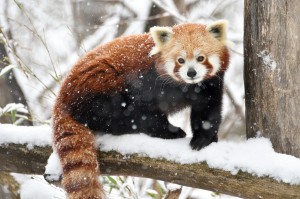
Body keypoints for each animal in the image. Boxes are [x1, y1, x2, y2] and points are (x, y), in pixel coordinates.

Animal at [52, 20, 230, 199]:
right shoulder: (145, 81)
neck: (185, 85)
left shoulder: (210, 84)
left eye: (201, 58)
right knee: (114, 115)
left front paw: (204, 138)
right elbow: (145, 112)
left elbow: (207, 111)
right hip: (101, 86)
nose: (191, 73)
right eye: (180, 60)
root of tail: (62, 96)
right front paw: (168, 130)